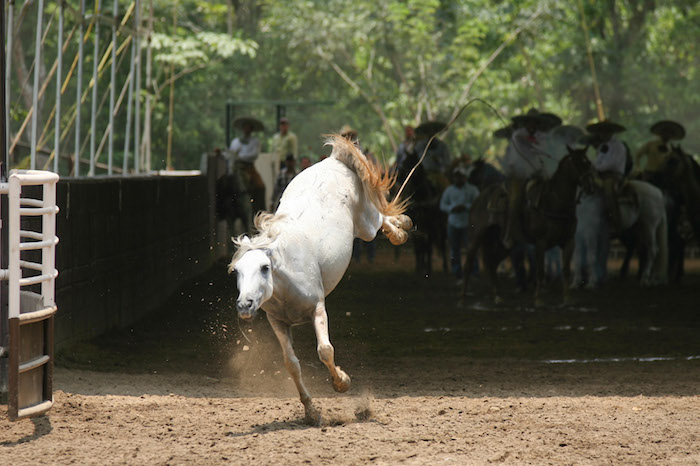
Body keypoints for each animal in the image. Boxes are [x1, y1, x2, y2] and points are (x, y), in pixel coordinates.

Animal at [227, 135, 412, 422]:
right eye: (237, 271)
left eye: (265, 267)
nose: (245, 305)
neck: (286, 277)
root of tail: (334, 161)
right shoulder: (277, 321)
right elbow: (291, 364)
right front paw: (311, 411)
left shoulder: (317, 308)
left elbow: (325, 350)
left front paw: (342, 382)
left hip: (366, 224)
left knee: (382, 219)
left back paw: (401, 229)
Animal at [462, 146, 592, 306]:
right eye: (577, 162)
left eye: (587, 163)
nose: (590, 185)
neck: (553, 202)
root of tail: (480, 199)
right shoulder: (541, 242)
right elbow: (540, 271)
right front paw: (537, 299)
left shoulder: (569, 241)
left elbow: (566, 270)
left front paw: (567, 298)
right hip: (476, 235)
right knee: (469, 264)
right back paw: (462, 298)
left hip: (502, 244)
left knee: (492, 264)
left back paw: (497, 296)